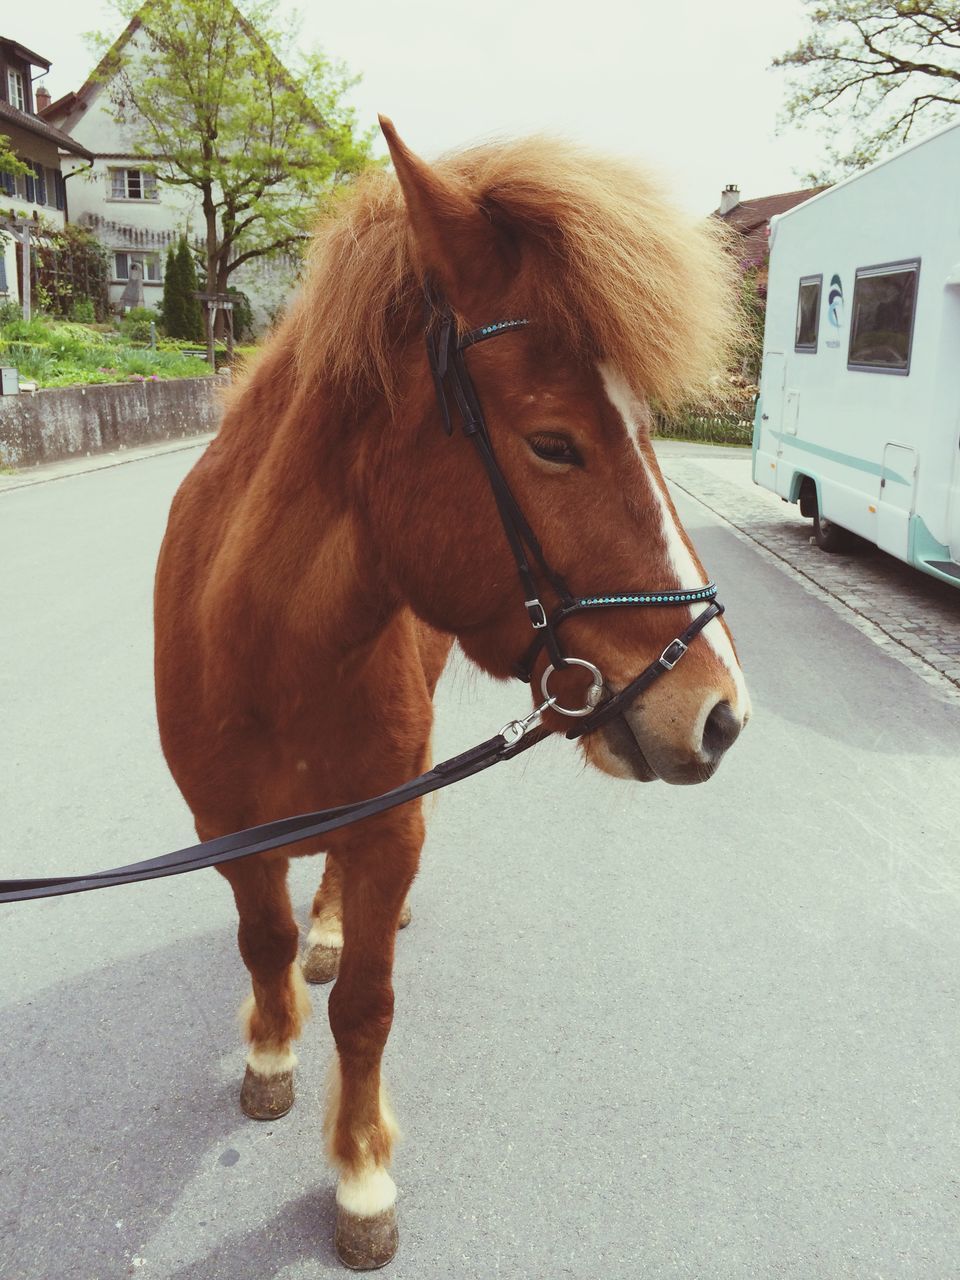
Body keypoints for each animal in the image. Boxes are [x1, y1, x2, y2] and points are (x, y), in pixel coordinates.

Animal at [154, 120, 752, 1269]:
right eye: (554, 442)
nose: (720, 711)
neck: (269, 649)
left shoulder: (391, 819)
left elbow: (367, 1006)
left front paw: (361, 1174)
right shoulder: (225, 826)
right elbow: (261, 945)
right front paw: (270, 1051)